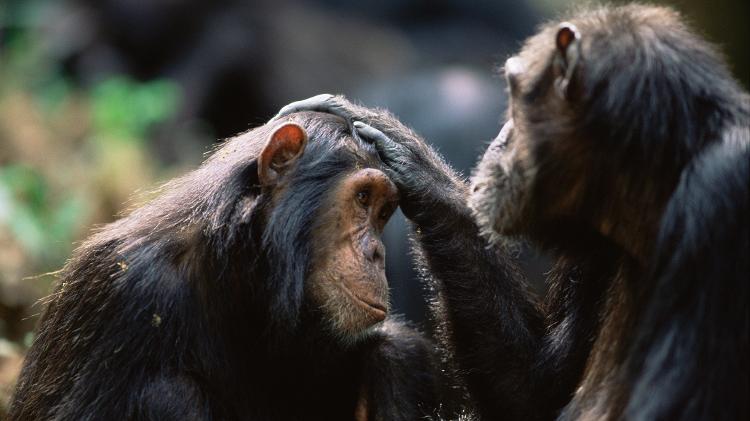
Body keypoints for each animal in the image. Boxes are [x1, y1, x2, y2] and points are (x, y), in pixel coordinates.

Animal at [8, 111, 444, 420]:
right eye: (363, 197)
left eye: (384, 212)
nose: (376, 252)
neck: (240, 267)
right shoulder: (121, 284)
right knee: (170, 395)